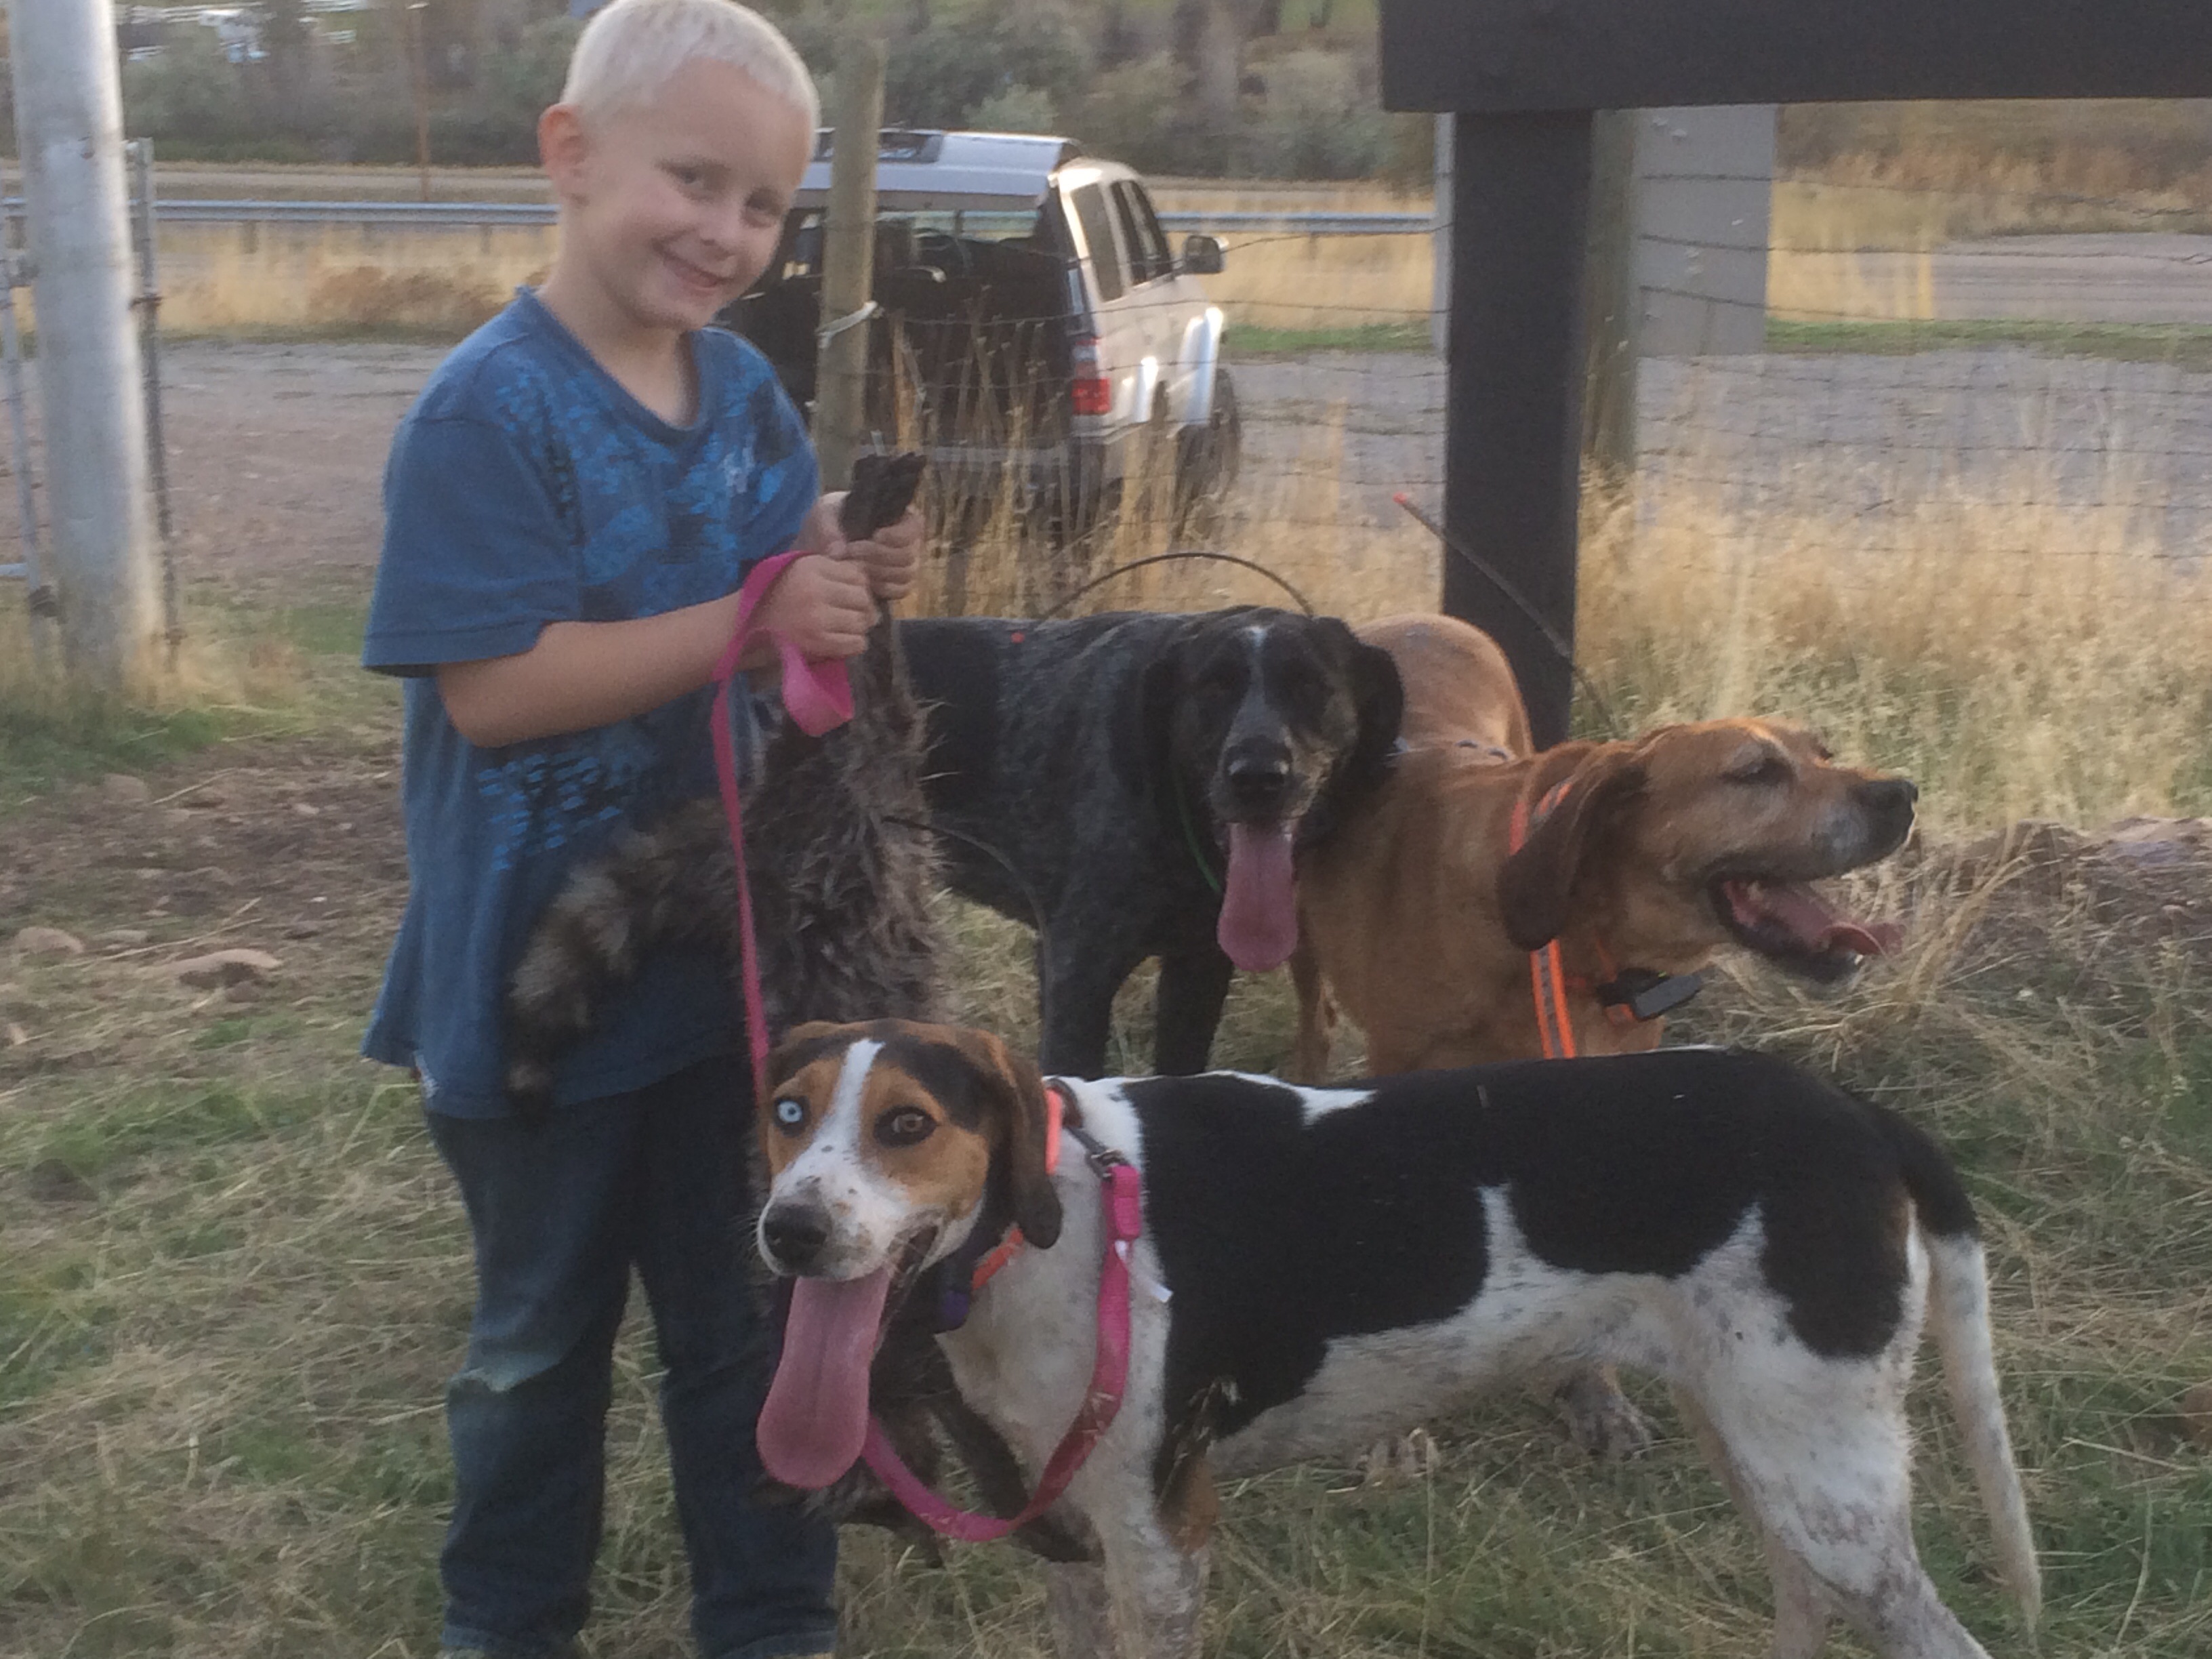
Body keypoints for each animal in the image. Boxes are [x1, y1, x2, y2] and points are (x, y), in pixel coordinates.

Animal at [752, 1019, 2040, 1659]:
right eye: (786, 1113)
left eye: (908, 1125)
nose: (789, 1231)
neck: (1042, 1228)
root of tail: (1861, 1117)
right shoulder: (1058, 1530)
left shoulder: (1163, 1538)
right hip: (1763, 1447)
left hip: (1825, 1485)